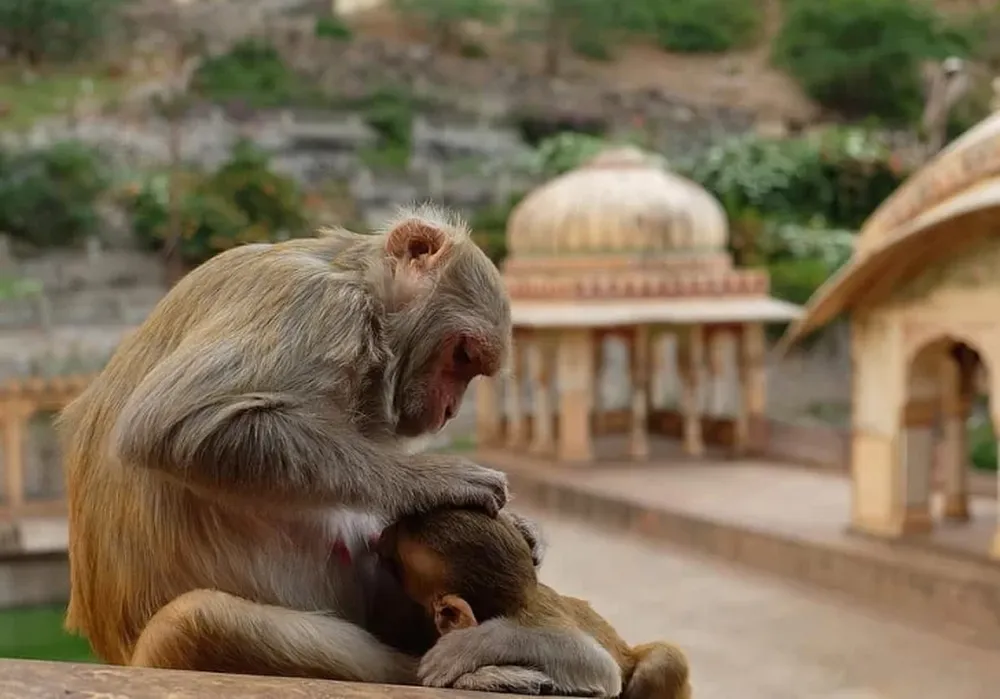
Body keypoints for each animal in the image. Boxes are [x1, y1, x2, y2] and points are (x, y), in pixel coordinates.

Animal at [57, 205, 622, 691]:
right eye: (462, 356)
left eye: (472, 367)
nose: (449, 411)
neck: (356, 282)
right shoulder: (316, 305)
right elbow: (178, 422)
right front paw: (437, 480)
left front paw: (524, 532)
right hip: (162, 652)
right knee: (196, 620)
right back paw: (472, 665)